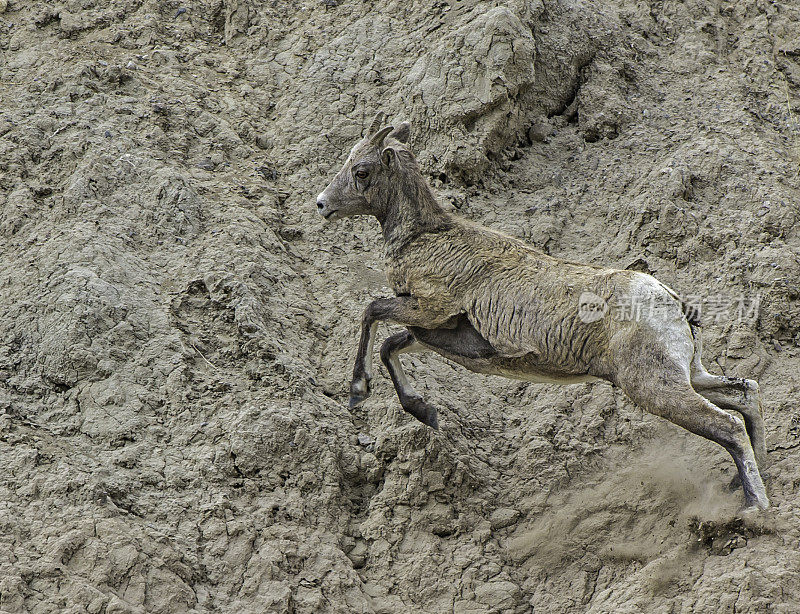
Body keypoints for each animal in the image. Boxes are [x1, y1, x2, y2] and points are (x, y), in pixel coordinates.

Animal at [318, 113, 768, 512]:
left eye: (361, 171)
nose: (322, 204)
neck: (424, 238)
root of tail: (671, 301)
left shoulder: (429, 309)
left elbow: (371, 312)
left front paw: (357, 392)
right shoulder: (432, 332)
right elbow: (389, 346)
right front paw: (425, 412)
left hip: (654, 386)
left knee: (728, 425)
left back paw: (753, 507)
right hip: (689, 374)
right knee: (745, 394)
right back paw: (745, 484)